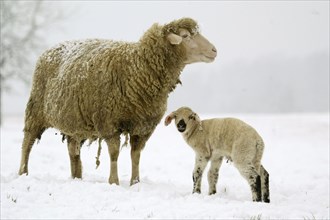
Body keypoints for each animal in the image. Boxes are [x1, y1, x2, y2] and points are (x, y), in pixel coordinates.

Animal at [19, 17, 218, 186]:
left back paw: (77, 178)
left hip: (75, 123)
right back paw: (23, 173)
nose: (214, 50)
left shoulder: (143, 126)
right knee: (27, 142)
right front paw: (113, 181)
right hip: (35, 109)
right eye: (185, 36)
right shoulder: (108, 122)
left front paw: (135, 182)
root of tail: (50, 49)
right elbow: (114, 154)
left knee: (73, 151)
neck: (138, 68)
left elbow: (135, 155)